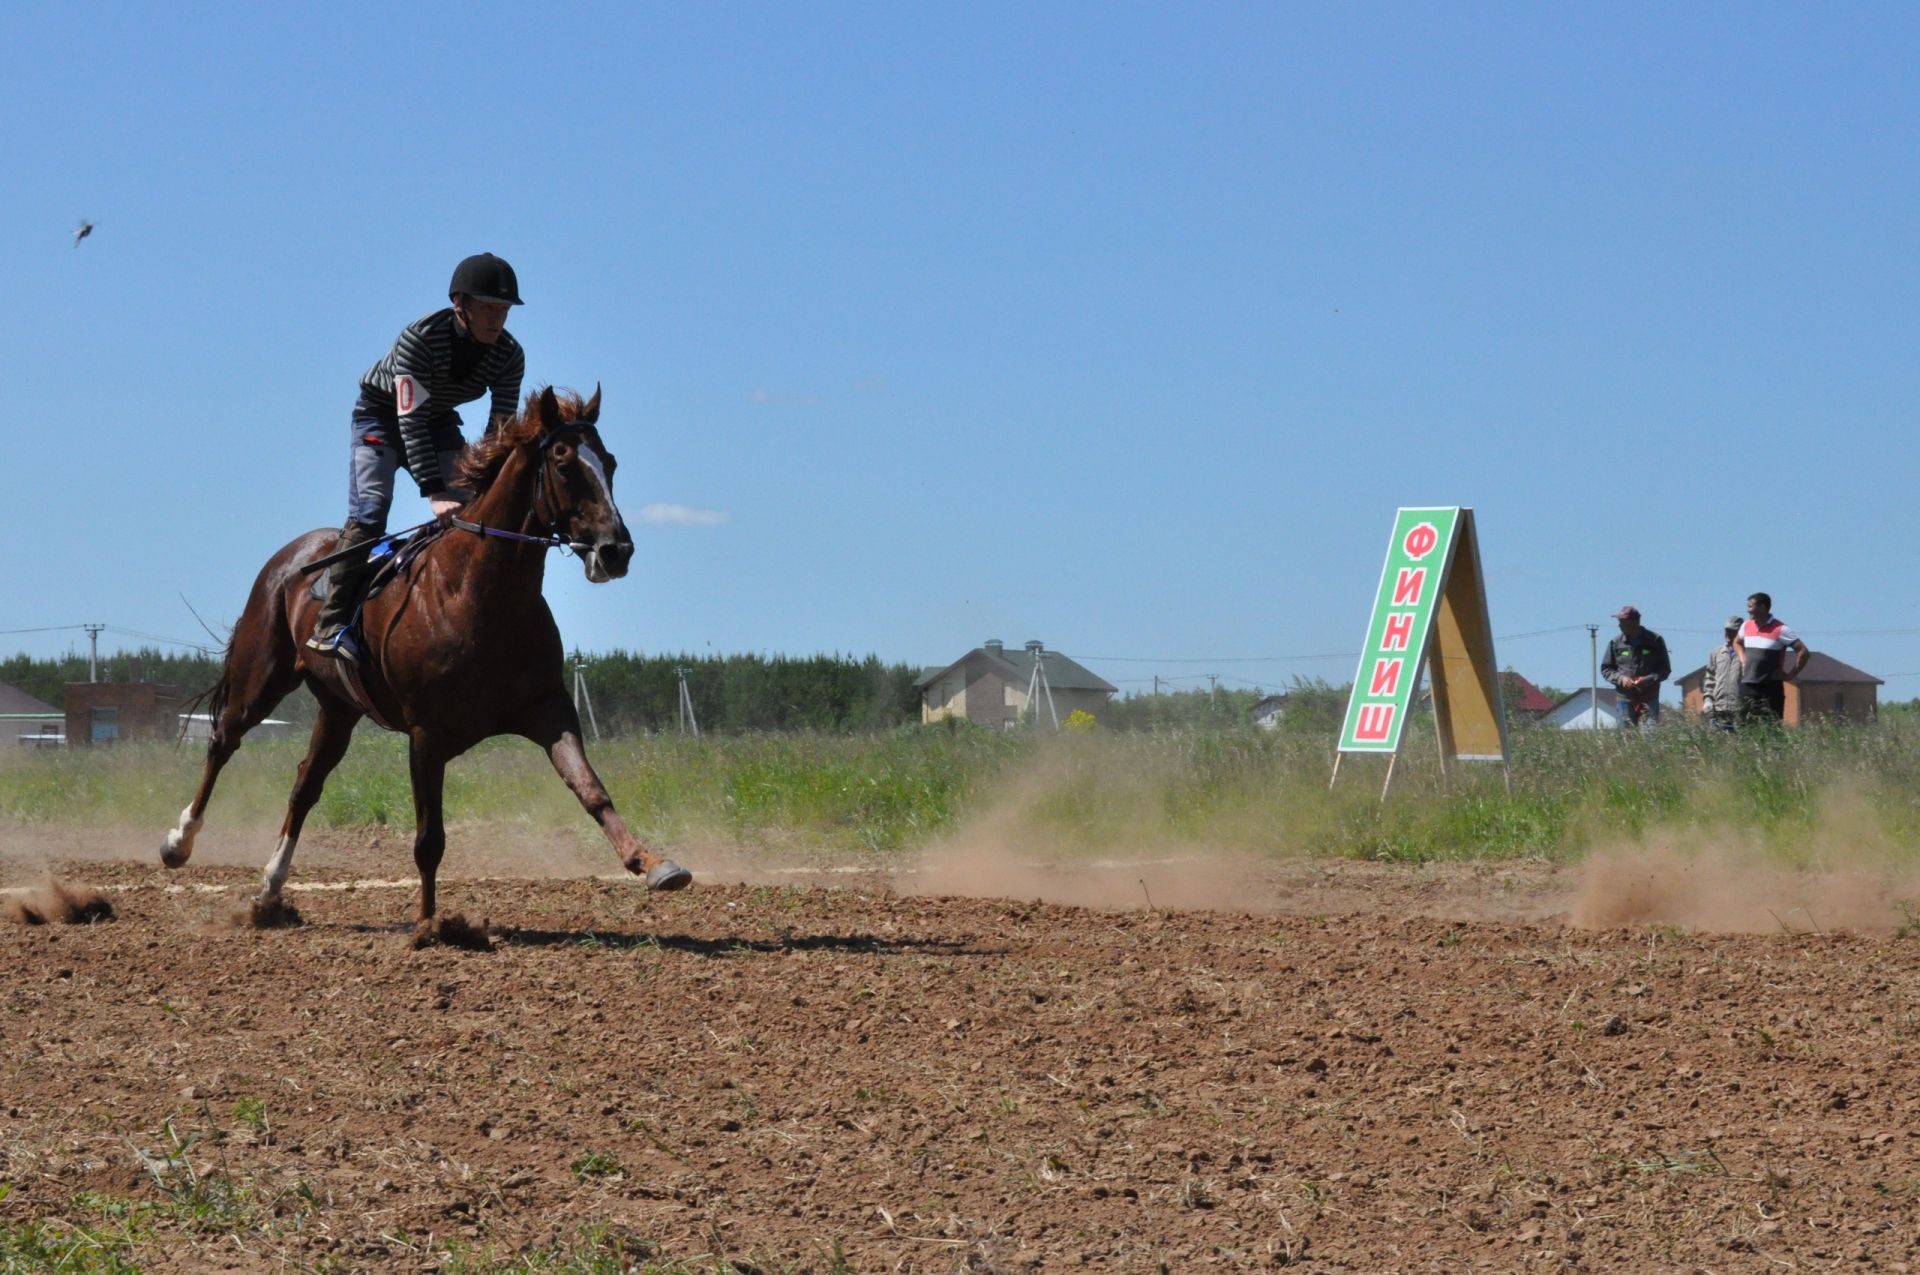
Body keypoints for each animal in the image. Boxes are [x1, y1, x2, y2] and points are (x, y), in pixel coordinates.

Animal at [163, 384, 691, 940]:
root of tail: (293, 557)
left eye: (610, 463)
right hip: (261, 677)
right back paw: (179, 842)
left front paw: (653, 863)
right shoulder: (426, 733)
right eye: (566, 464)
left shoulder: (548, 708)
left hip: (339, 708)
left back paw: (268, 891)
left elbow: (591, 790)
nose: (616, 550)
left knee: (305, 785)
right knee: (223, 741)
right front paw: (429, 924)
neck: (480, 594)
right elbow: (428, 838)